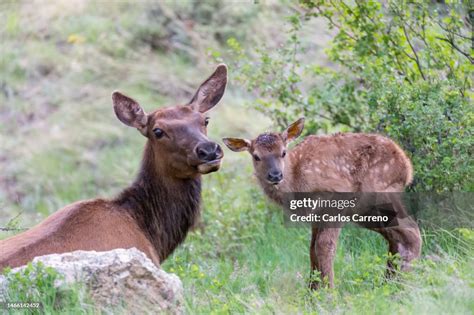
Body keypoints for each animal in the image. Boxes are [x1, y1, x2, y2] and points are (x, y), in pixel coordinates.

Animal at [224, 118, 424, 288]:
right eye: (256, 156)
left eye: (283, 152)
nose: (275, 175)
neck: (296, 178)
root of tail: (407, 167)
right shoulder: (315, 214)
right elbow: (312, 249)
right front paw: (311, 293)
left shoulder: (337, 197)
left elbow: (323, 246)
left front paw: (328, 294)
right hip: (366, 211)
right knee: (397, 237)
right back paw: (390, 282)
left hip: (377, 194)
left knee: (411, 232)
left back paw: (401, 284)